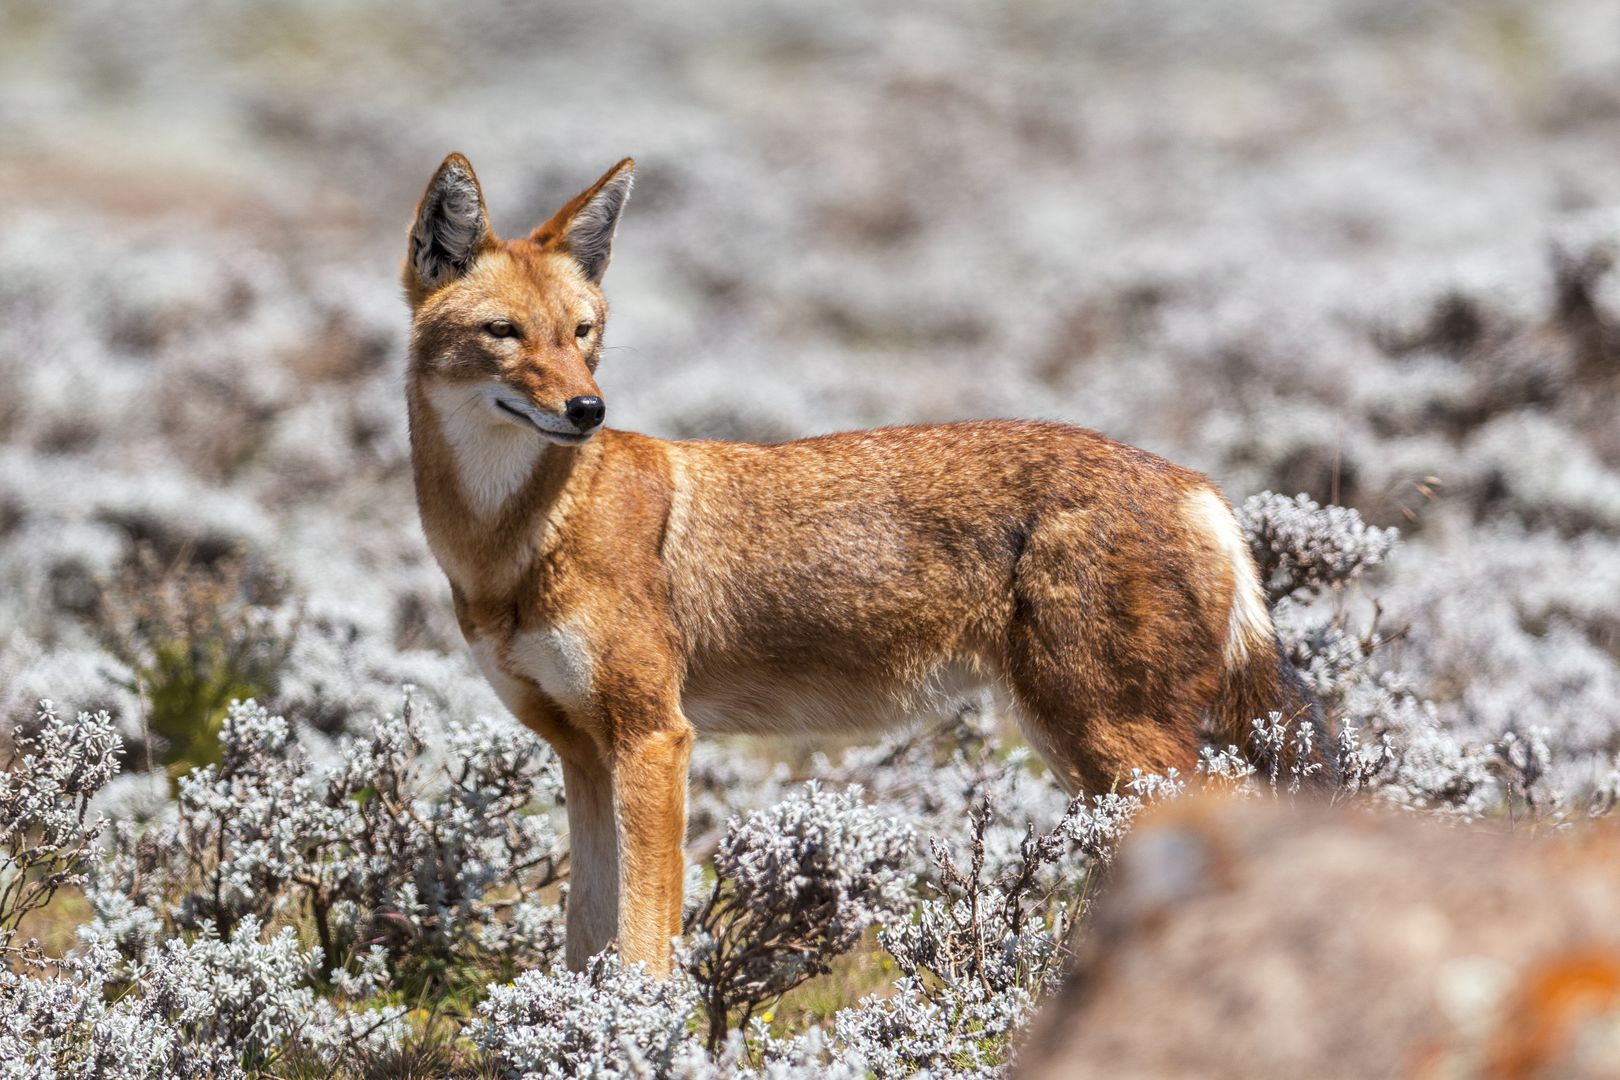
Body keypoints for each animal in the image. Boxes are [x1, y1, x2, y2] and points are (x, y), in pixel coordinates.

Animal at [398, 153, 1321, 977]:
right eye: (504, 333)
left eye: (583, 333)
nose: (588, 409)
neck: (512, 543)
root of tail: (1201, 487)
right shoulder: (585, 754)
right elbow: (586, 941)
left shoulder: (655, 740)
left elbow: (640, 951)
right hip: (1080, 750)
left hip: (1104, 743)